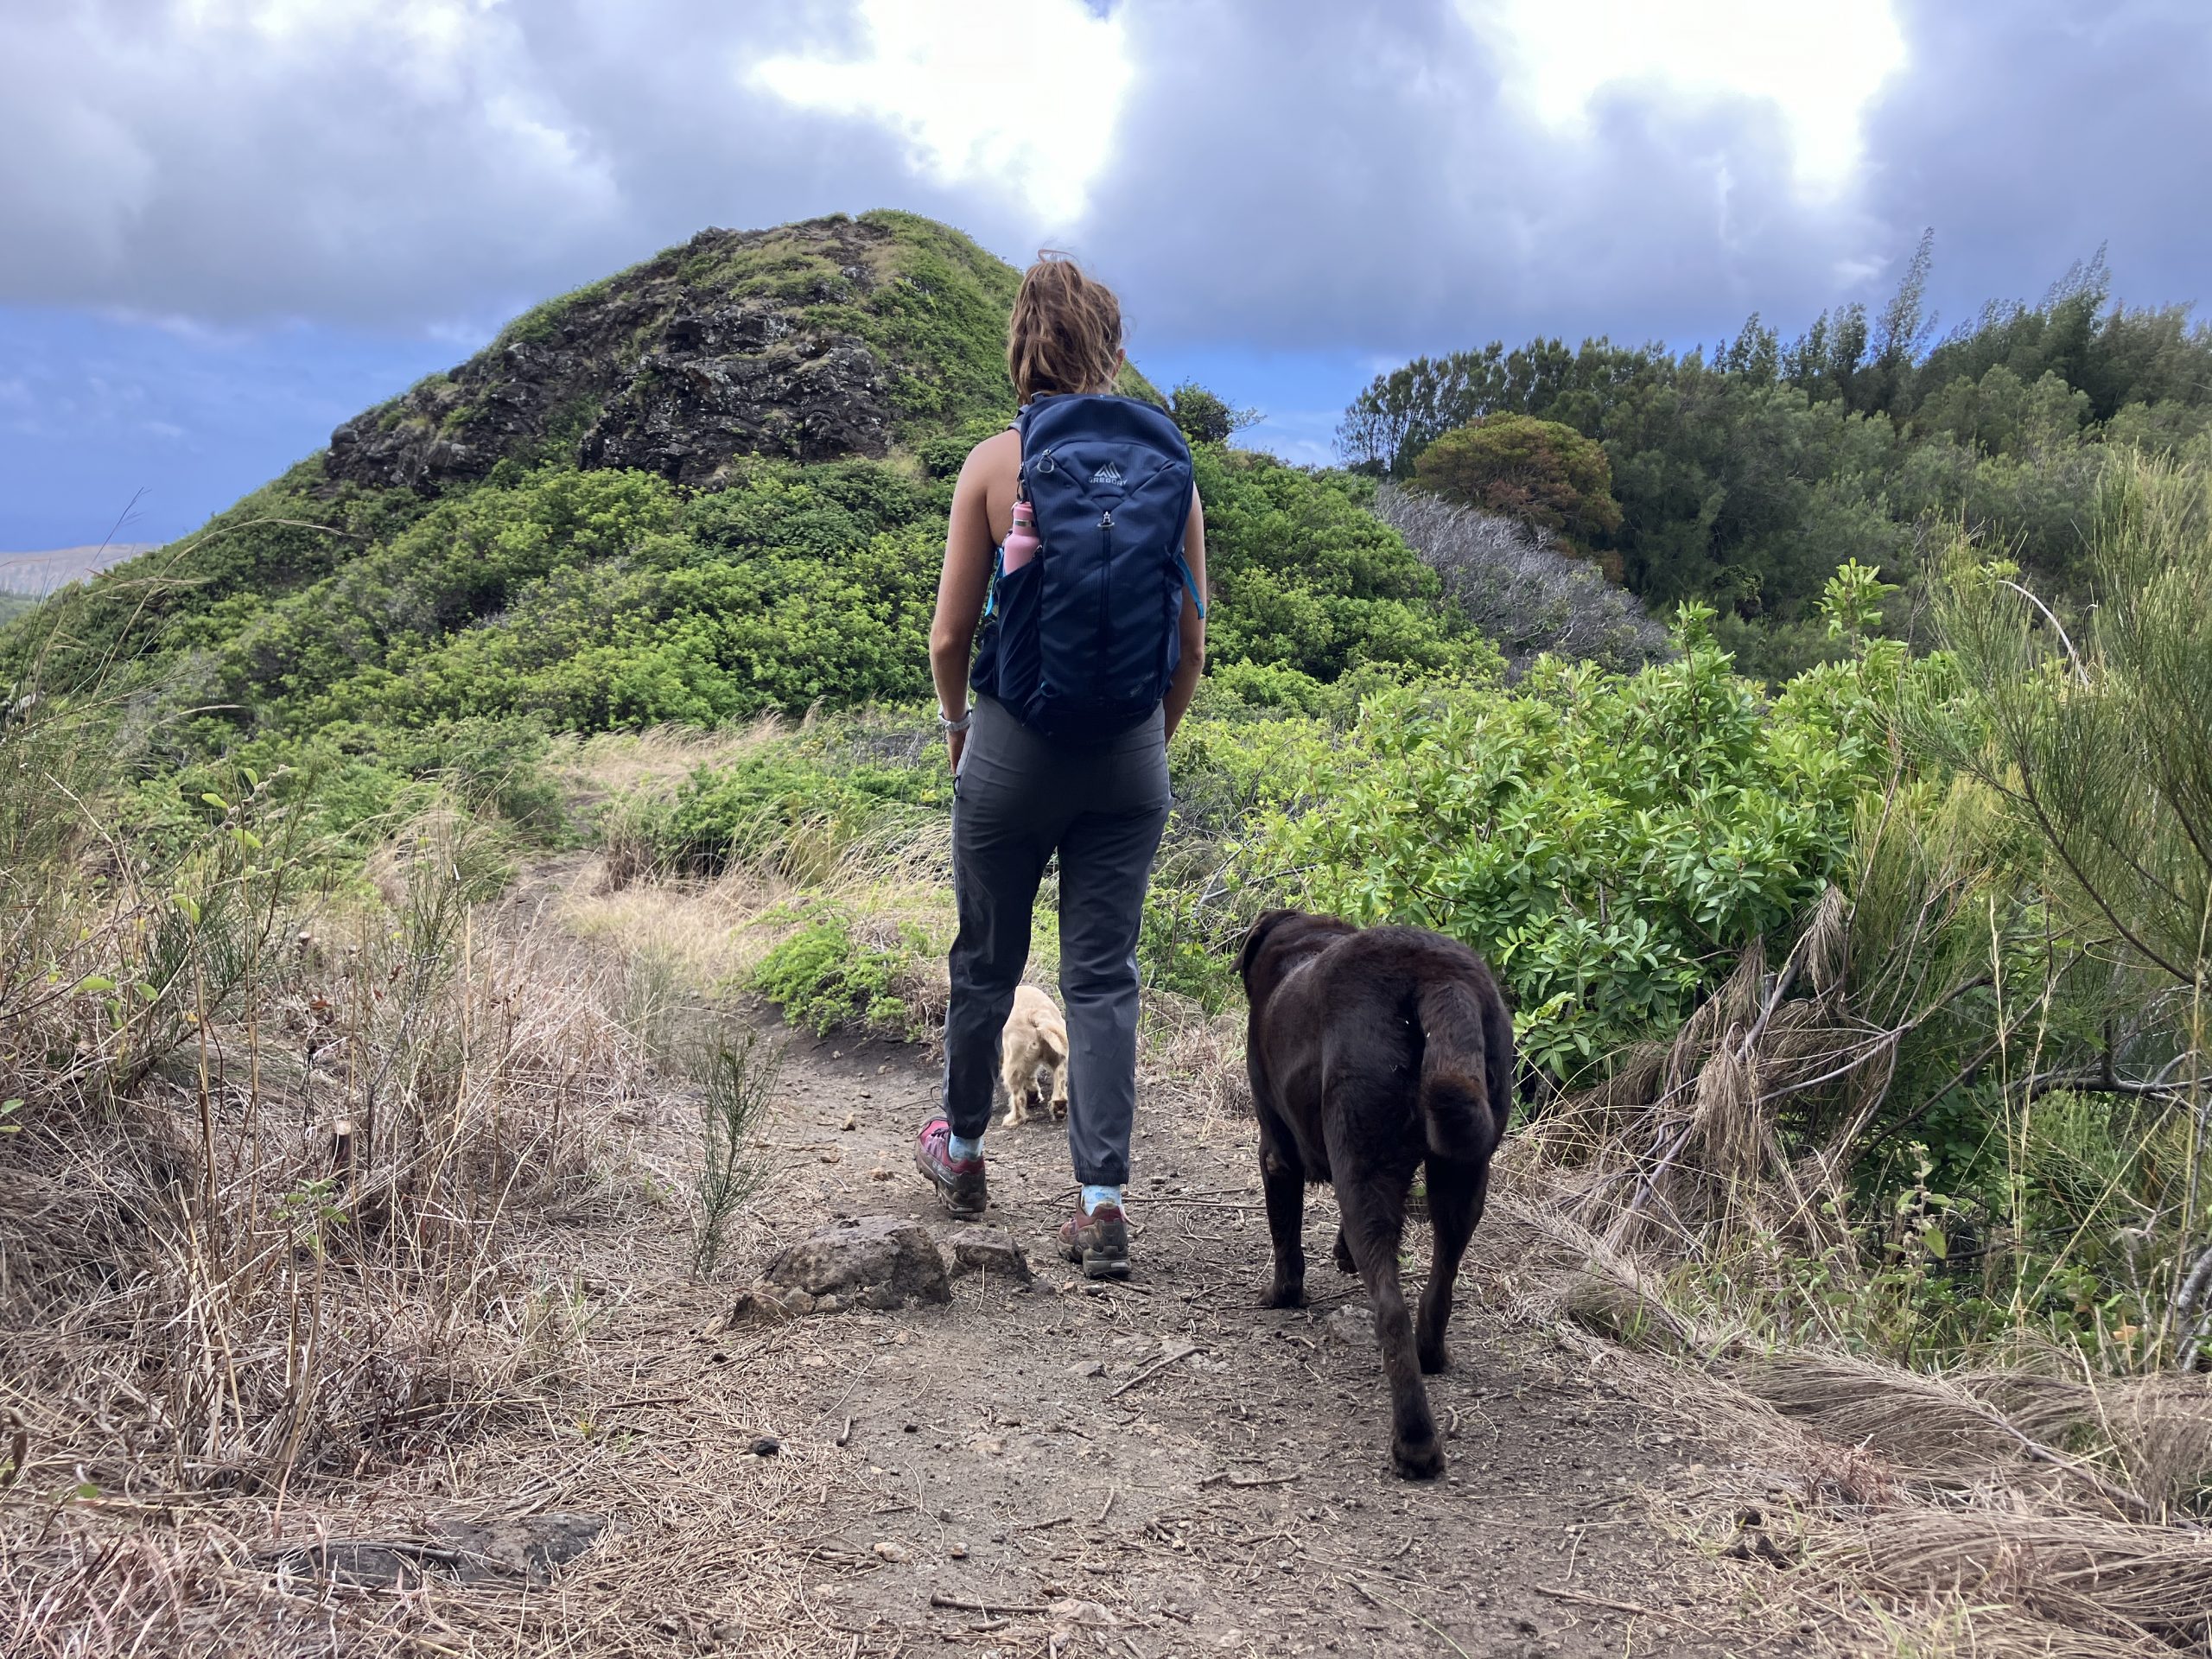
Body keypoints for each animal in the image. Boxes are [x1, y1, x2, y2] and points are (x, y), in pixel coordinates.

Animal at [1004, 986, 1071, 1132]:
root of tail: (1035, 1014)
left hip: (1013, 1064)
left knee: (1017, 1097)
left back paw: (1013, 1119)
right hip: (1057, 1053)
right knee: (1060, 1078)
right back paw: (1059, 1106)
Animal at [1238, 911, 1513, 1478]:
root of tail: (1436, 976)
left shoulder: (1276, 1151)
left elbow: (1286, 1238)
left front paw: (1281, 1295)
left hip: (1363, 1159)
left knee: (1390, 1308)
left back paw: (1415, 1444)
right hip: (1464, 1170)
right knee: (1441, 1277)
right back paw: (1431, 1355)